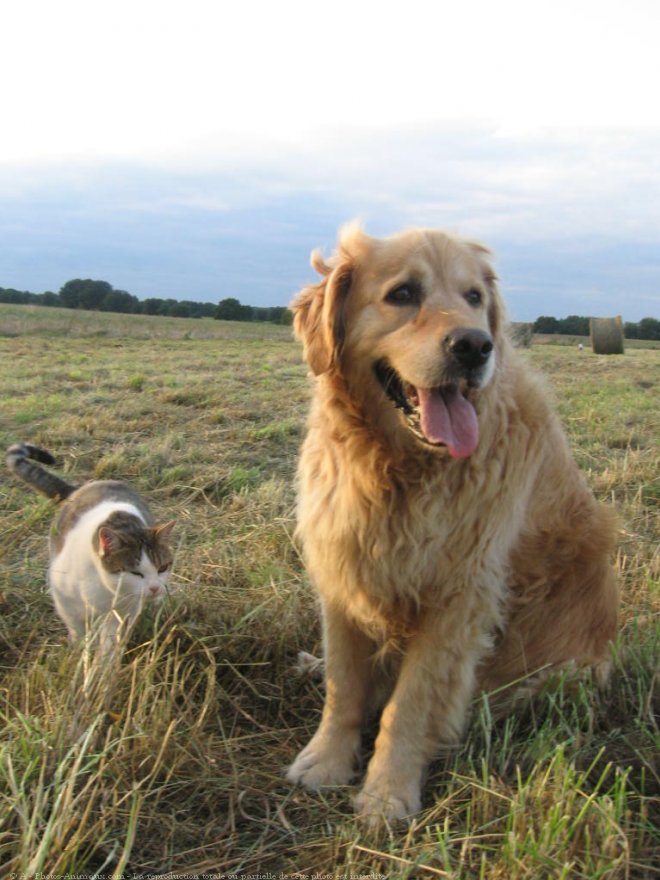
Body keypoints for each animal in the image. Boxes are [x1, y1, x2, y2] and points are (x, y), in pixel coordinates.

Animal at [7, 446, 175, 652]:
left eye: (162, 568)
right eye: (135, 573)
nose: (154, 588)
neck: (106, 587)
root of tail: (82, 487)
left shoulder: (122, 611)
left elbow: (111, 642)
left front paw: (105, 659)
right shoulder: (65, 600)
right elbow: (77, 630)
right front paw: (78, 651)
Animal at [288, 225, 620, 824]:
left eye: (474, 297)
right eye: (402, 294)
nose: (474, 346)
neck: (398, 470)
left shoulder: (457, 597)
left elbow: (409, 706)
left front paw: (387, 794)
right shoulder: (343, 567)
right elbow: (344, 684)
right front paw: (325, 762)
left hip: (560, 674)